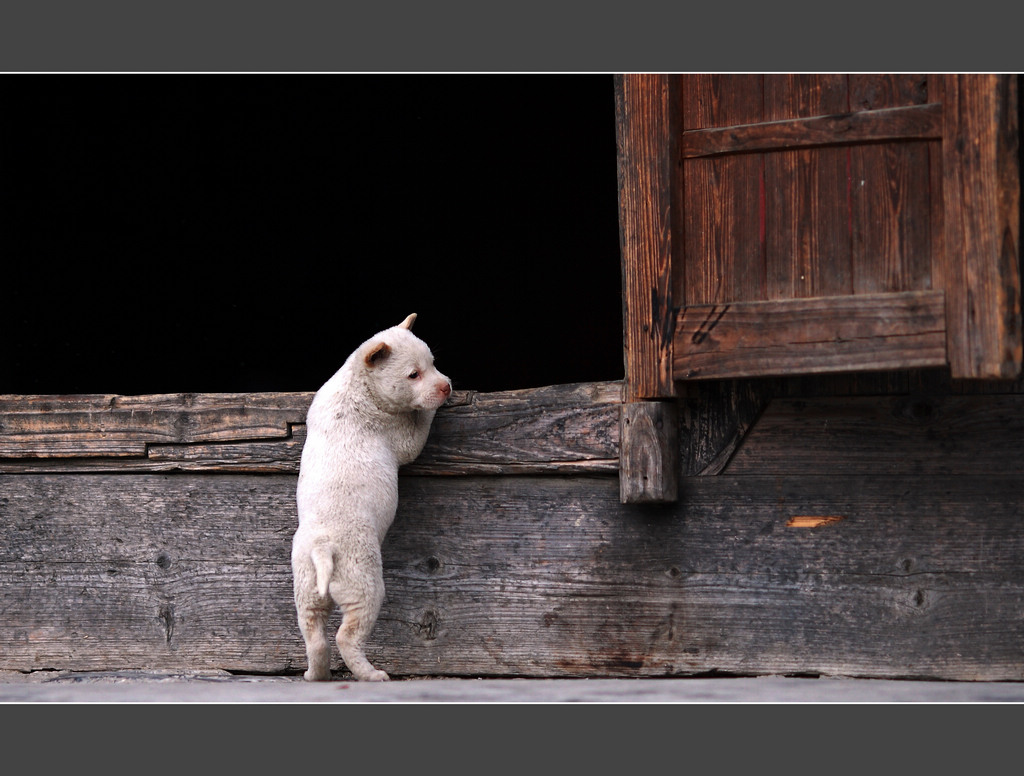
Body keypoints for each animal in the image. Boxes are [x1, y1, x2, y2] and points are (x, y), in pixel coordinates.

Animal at [288, 315, 448, 679]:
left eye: (433, 363)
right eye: (413, 375)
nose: (446, 386)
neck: (359, 382)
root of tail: (324, 549)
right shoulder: (396, 432)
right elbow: (416, 435)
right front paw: (432, 409)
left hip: (305, 582)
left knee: (314, 633)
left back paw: (314, 674)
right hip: (362, 579)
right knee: (347, 634)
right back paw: (372, 674)